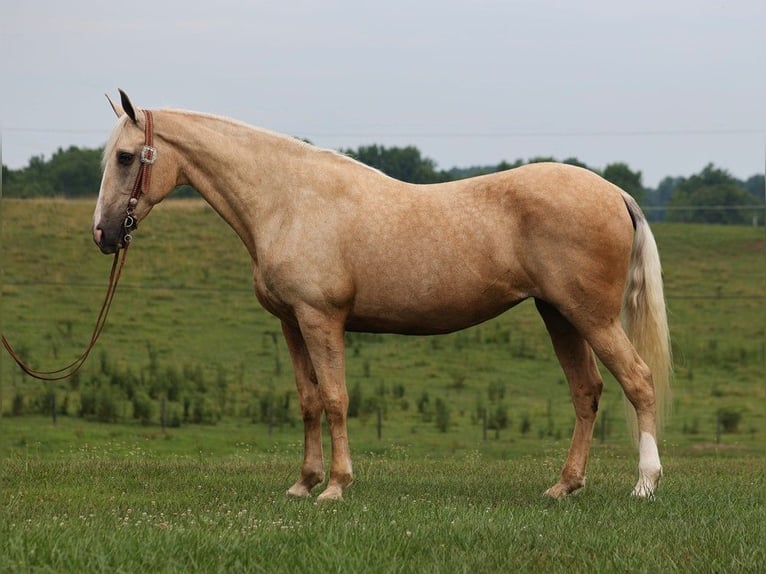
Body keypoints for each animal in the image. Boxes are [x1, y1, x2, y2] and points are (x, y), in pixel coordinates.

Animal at [94, 90, 672, 504]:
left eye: (124, 157)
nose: (103, 234)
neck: (288, 200)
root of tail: (614, 192)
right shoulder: (291, 322)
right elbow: (308, 401)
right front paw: (303, 483)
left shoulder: (320, 318)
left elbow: (335, 398)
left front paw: (335, 487)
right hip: (560, 315)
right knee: (587, 392)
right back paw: (564, 486)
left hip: (591, 317)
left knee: (639, 382)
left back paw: (645, 484)